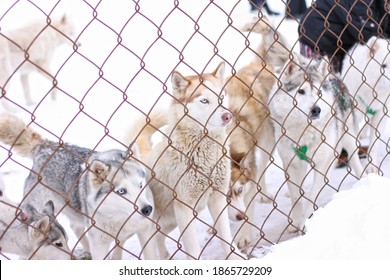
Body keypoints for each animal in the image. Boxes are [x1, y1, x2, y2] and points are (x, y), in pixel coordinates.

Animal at [0, 114, 155, 260]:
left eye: (140, 185)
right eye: (121, 191)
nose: (147, 209)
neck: (121, 218)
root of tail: (45, 146)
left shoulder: (146, 232)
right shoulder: (99, 244)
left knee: (75, 226)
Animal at [134, 62, 242, 260]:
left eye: (221, 97)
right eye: (204, 101)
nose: (227, 116)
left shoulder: (217, 199)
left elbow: (226, 238)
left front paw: (236, 258)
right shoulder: (184, 208)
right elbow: (193, 250)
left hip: (169, 223)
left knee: (160, 239)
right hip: (150, 228)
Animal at [268, 57, 366, 232]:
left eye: (319, 92)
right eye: (301, 91)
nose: (316, 110)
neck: (304, 131)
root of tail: (334, 76)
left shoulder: (322, 163)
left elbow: (313, 195)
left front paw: (306, 222)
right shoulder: (291, 164)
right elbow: (296, 196)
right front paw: (295, 221)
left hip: (348, 136)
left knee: (354, 157)